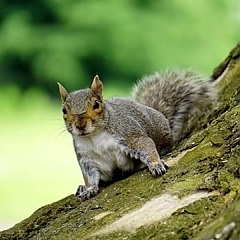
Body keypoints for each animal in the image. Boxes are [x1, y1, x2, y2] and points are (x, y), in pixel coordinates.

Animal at [57, 68, 217, 202]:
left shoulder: (129, 134)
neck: (94, 136)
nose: (80, 125)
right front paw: (89, 189)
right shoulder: (87, 158)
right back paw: (82, 187)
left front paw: (156, 164)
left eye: (96, 104)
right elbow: (90, 176)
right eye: (64, 110)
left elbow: (146, 145)